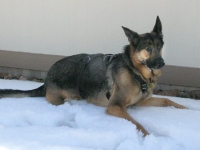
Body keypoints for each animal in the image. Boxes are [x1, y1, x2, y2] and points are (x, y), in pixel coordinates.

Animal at [0, 16, 188, 136]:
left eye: (159, 46)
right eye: (148, 48)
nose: (161, 63)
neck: (134, 71)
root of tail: (47, 79)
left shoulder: (140, 102)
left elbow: (167, 100)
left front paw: (189, 109)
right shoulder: (115, 106)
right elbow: (137, 123)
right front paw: (149, 136)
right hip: (62, 98)